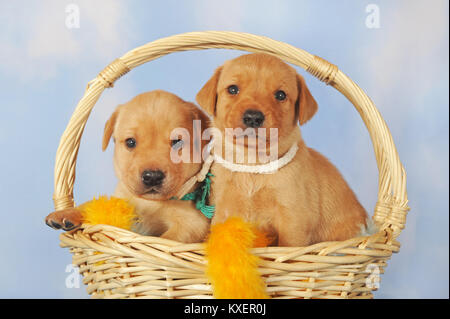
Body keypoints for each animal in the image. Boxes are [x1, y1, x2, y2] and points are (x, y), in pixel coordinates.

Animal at [46, 89, 212, 244]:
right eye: (130, 142)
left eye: (177, 142)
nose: (152, 177)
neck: (149, 203)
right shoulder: (120, 197)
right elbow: (93, 203)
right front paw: (66, 213)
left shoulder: (193, 222)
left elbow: (167, 240)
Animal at [197, 53, 370, 248]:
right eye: (232, 89)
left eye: (280, 95)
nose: (253, 117)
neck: (253, 163)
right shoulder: (221, 210)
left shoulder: (293, 218)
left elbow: (289, 246)